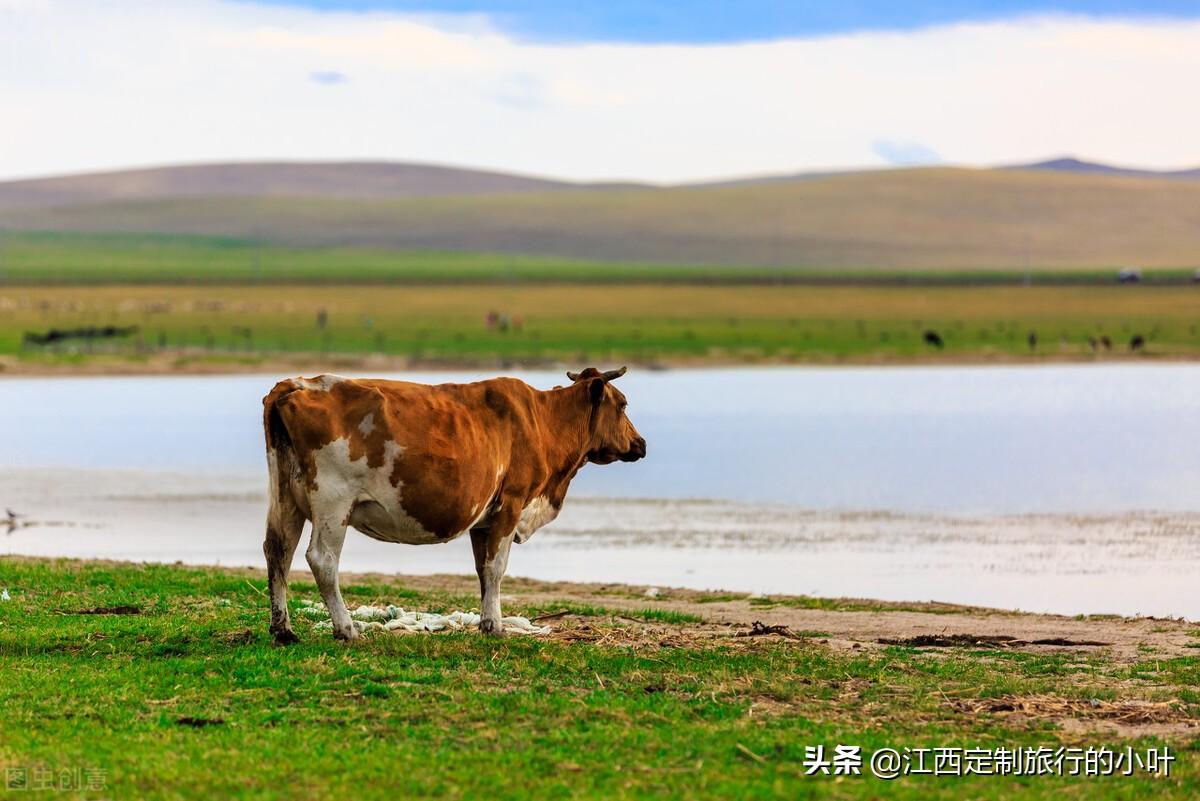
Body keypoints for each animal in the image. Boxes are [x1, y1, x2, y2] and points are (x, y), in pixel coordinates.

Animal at [258, 366, 643, 642]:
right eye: (623, 403)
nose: (641, 443)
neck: (544, 422)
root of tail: (298, 383)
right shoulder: (512, 503)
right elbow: (497, 567)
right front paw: (496, 626)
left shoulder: (484, 518)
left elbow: (483, 570)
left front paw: (486, 621)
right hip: (333, 501)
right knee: (321, 559)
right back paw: (346, 628)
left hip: (285, 497)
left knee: (278, 550)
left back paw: (283, 629)